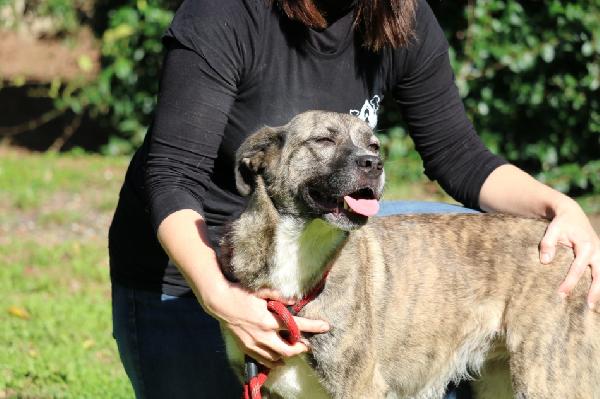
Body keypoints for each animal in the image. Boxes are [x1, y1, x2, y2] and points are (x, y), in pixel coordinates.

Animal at [219, 111, 600, 398]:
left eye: (373, 145)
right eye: (323, 141)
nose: (374, 163)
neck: (301, 246)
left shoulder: (359, 387)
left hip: (548, 379)